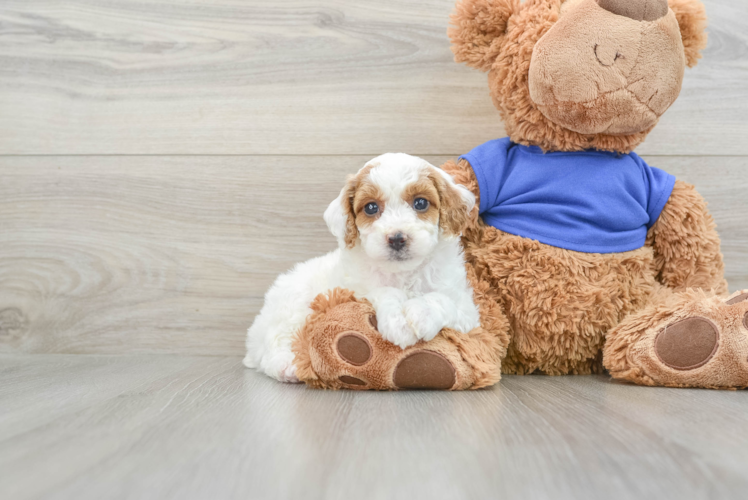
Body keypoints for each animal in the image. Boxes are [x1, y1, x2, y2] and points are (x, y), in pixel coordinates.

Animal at [244, 154, 480, 380]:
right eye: (371, 207)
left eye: (421, 203)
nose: (397, 239)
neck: (402, 273)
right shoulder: (354, 291)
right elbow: (384, 292)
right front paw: (398, 323)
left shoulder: (467, 312)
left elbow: (441, 299)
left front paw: (422, 314)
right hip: (293, 304)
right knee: (274, 342)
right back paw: (288, 366)